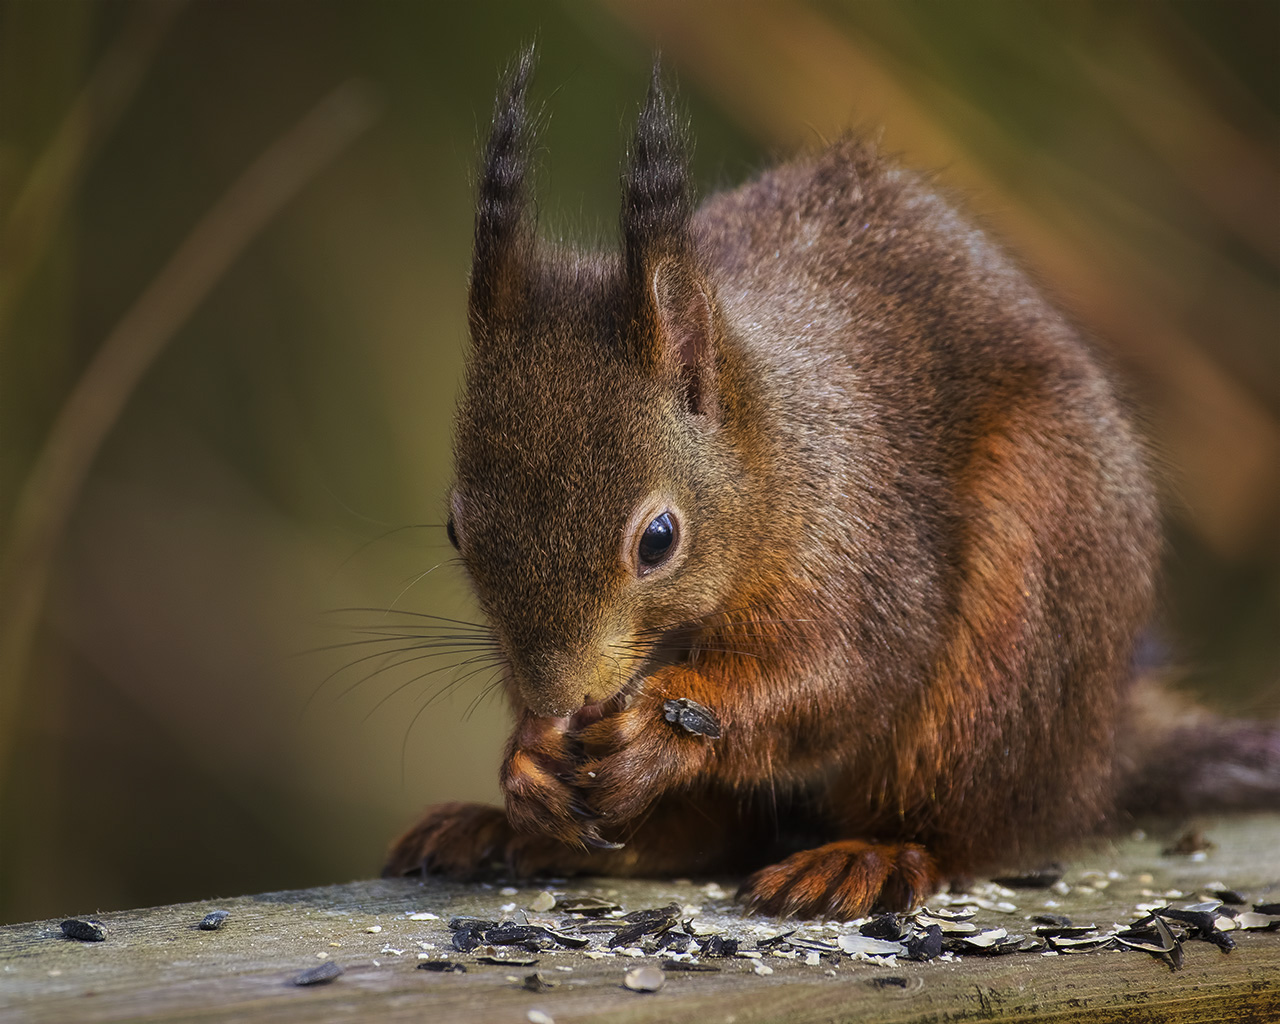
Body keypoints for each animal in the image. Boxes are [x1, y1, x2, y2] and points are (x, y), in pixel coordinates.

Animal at [381, 49, 1280, 921]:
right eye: (457, 531)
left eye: (659, 539)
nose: (559, 695)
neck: (774, 455)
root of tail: (1098, 752)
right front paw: (526, 761)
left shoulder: (862, 538)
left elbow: (841, 675)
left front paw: (659, 733)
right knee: (708, 835)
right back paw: (510, 831)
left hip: (1015, 632)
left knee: (955, 821)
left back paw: (869, 855)